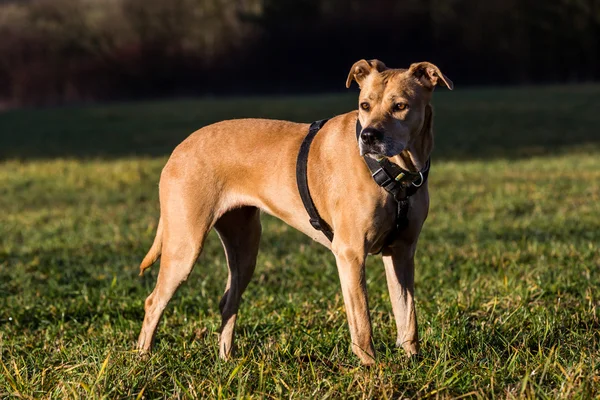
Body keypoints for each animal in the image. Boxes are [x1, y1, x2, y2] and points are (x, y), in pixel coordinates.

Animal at [136, 60, 452, 366]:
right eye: (365, 105)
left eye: (400, 106)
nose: (369, 136)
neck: (396, 170)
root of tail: (180, 147)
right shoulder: (350, 253)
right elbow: (362, 322)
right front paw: (371, 369)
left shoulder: (401, 252)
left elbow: (407, 315)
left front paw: (413, 362)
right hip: (185, 245)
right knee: (153, 302)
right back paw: (143, 358)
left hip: (245, 249)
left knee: (228, 301)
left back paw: (226, 360)